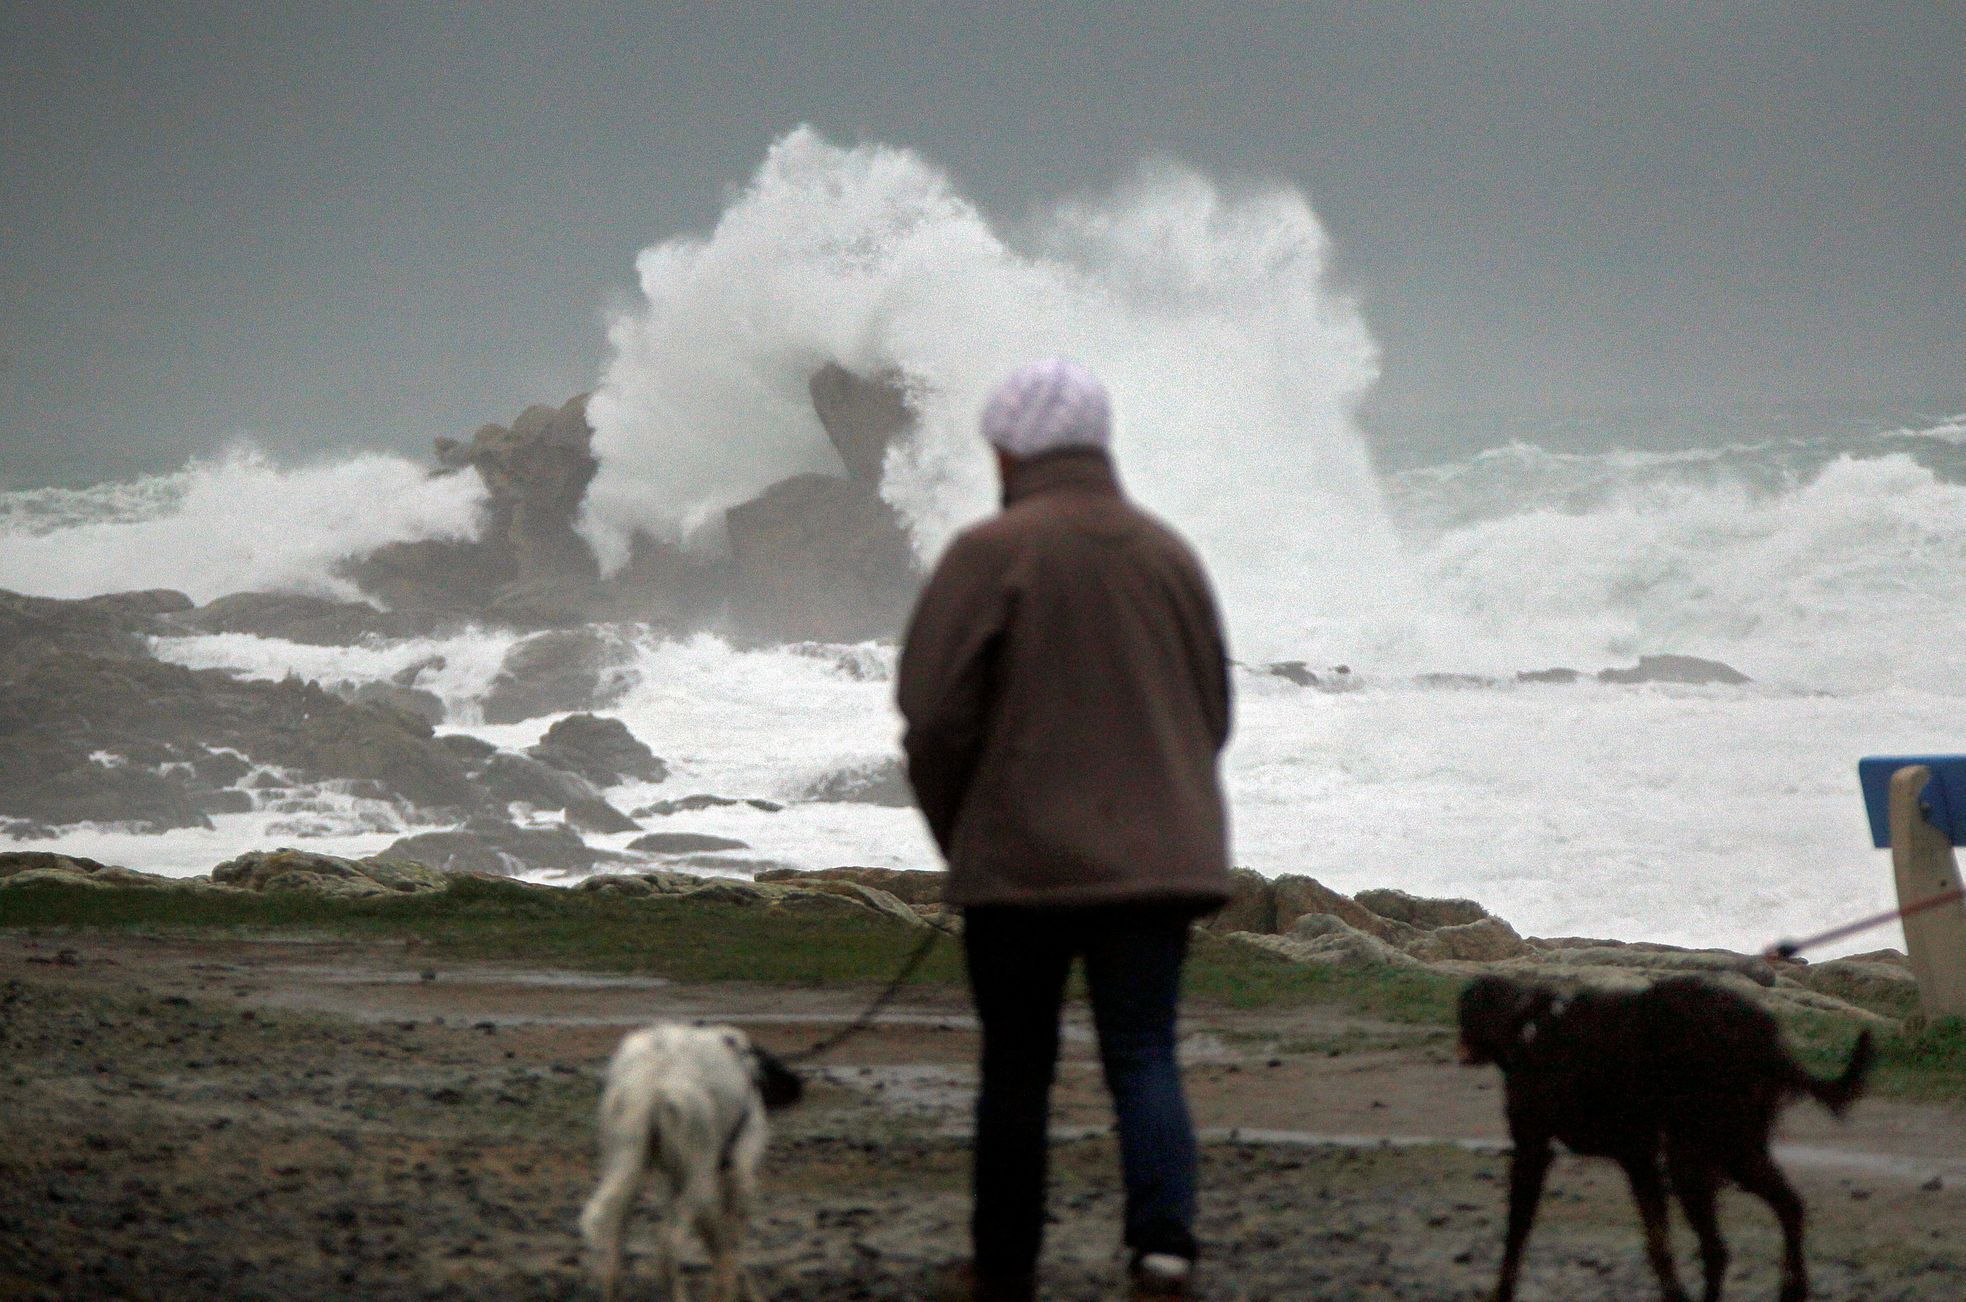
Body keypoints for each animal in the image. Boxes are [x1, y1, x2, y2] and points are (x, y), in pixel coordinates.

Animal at [578, 1022, 802, 1298]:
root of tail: (650, 1080)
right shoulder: (739, 1174)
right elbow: (730, 1248)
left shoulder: (678, 1179)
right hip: (698, 1180)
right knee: (669, 1247)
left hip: (628, 1171)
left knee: (613, 1258)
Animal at [1462, 979, 1871, 1302]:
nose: (1462, 1051)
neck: (1528, 1027)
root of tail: (1764, 1042)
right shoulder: (1638, 1160)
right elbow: (1658, 1244)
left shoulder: (1533, 1154)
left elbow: (1515, 1237)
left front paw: (1501, 1291)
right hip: (1736, 1152)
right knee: (1789, 1208)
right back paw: (1792, 1288)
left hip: (1693, 1162)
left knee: (1718, 1249)